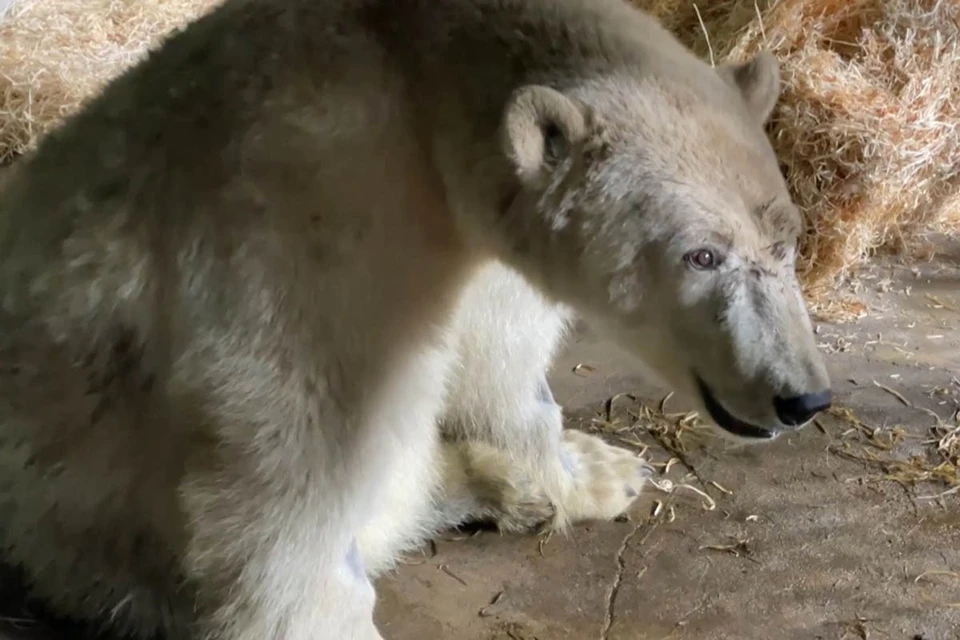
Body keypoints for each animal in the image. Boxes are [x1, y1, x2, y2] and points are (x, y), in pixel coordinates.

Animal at [0, 0, 828, 636]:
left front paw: (586, 470)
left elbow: (501, 368)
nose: (803, 396)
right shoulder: (311, 214)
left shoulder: (474, 245)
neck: (414, 78)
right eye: (702, 256)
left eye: (787, 243)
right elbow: (290, 452)